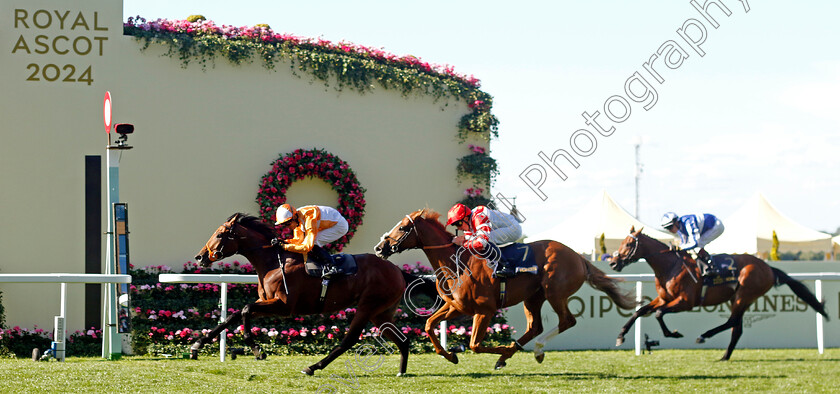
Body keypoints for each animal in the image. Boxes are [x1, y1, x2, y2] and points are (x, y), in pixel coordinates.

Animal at [191, 212, 414, 376]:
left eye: (219, 235)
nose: (200, 256)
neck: (273, 262)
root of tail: (397, 270)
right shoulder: (265, 301)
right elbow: (233, 316)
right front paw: (197, 344)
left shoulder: (284, 306)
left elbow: (245, 310)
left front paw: (256, 350)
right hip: (381, 313)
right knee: (402, 340)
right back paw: (401, 372)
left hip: (368, 307)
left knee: (349, 340)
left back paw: (312, 367)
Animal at [372, 209, 632, 370]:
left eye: (403, 227)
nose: (379, 247)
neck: (457, 263)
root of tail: (578, 257)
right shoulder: (456, 307)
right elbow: (428, 324)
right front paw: (451, 355)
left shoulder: (484, 310)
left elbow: (475, 345)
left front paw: (478, 350)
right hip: (533, 297)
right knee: (535, 326)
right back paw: (510, 355)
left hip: (555, 293)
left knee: (567, 321)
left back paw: (533, 351)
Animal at [608, 228, 832, 360]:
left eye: (629, 244)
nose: (613, 262)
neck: (670, 266)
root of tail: (769, 268)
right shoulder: (664, 298)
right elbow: (640, 312)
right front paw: (620, 336)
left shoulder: (685, 302)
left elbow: (658, 314)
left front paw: (674, 333)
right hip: (740, 298)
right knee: (736, 328)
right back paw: (724, 355)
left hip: (744, 294)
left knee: (732, 322)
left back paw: (704, 336)